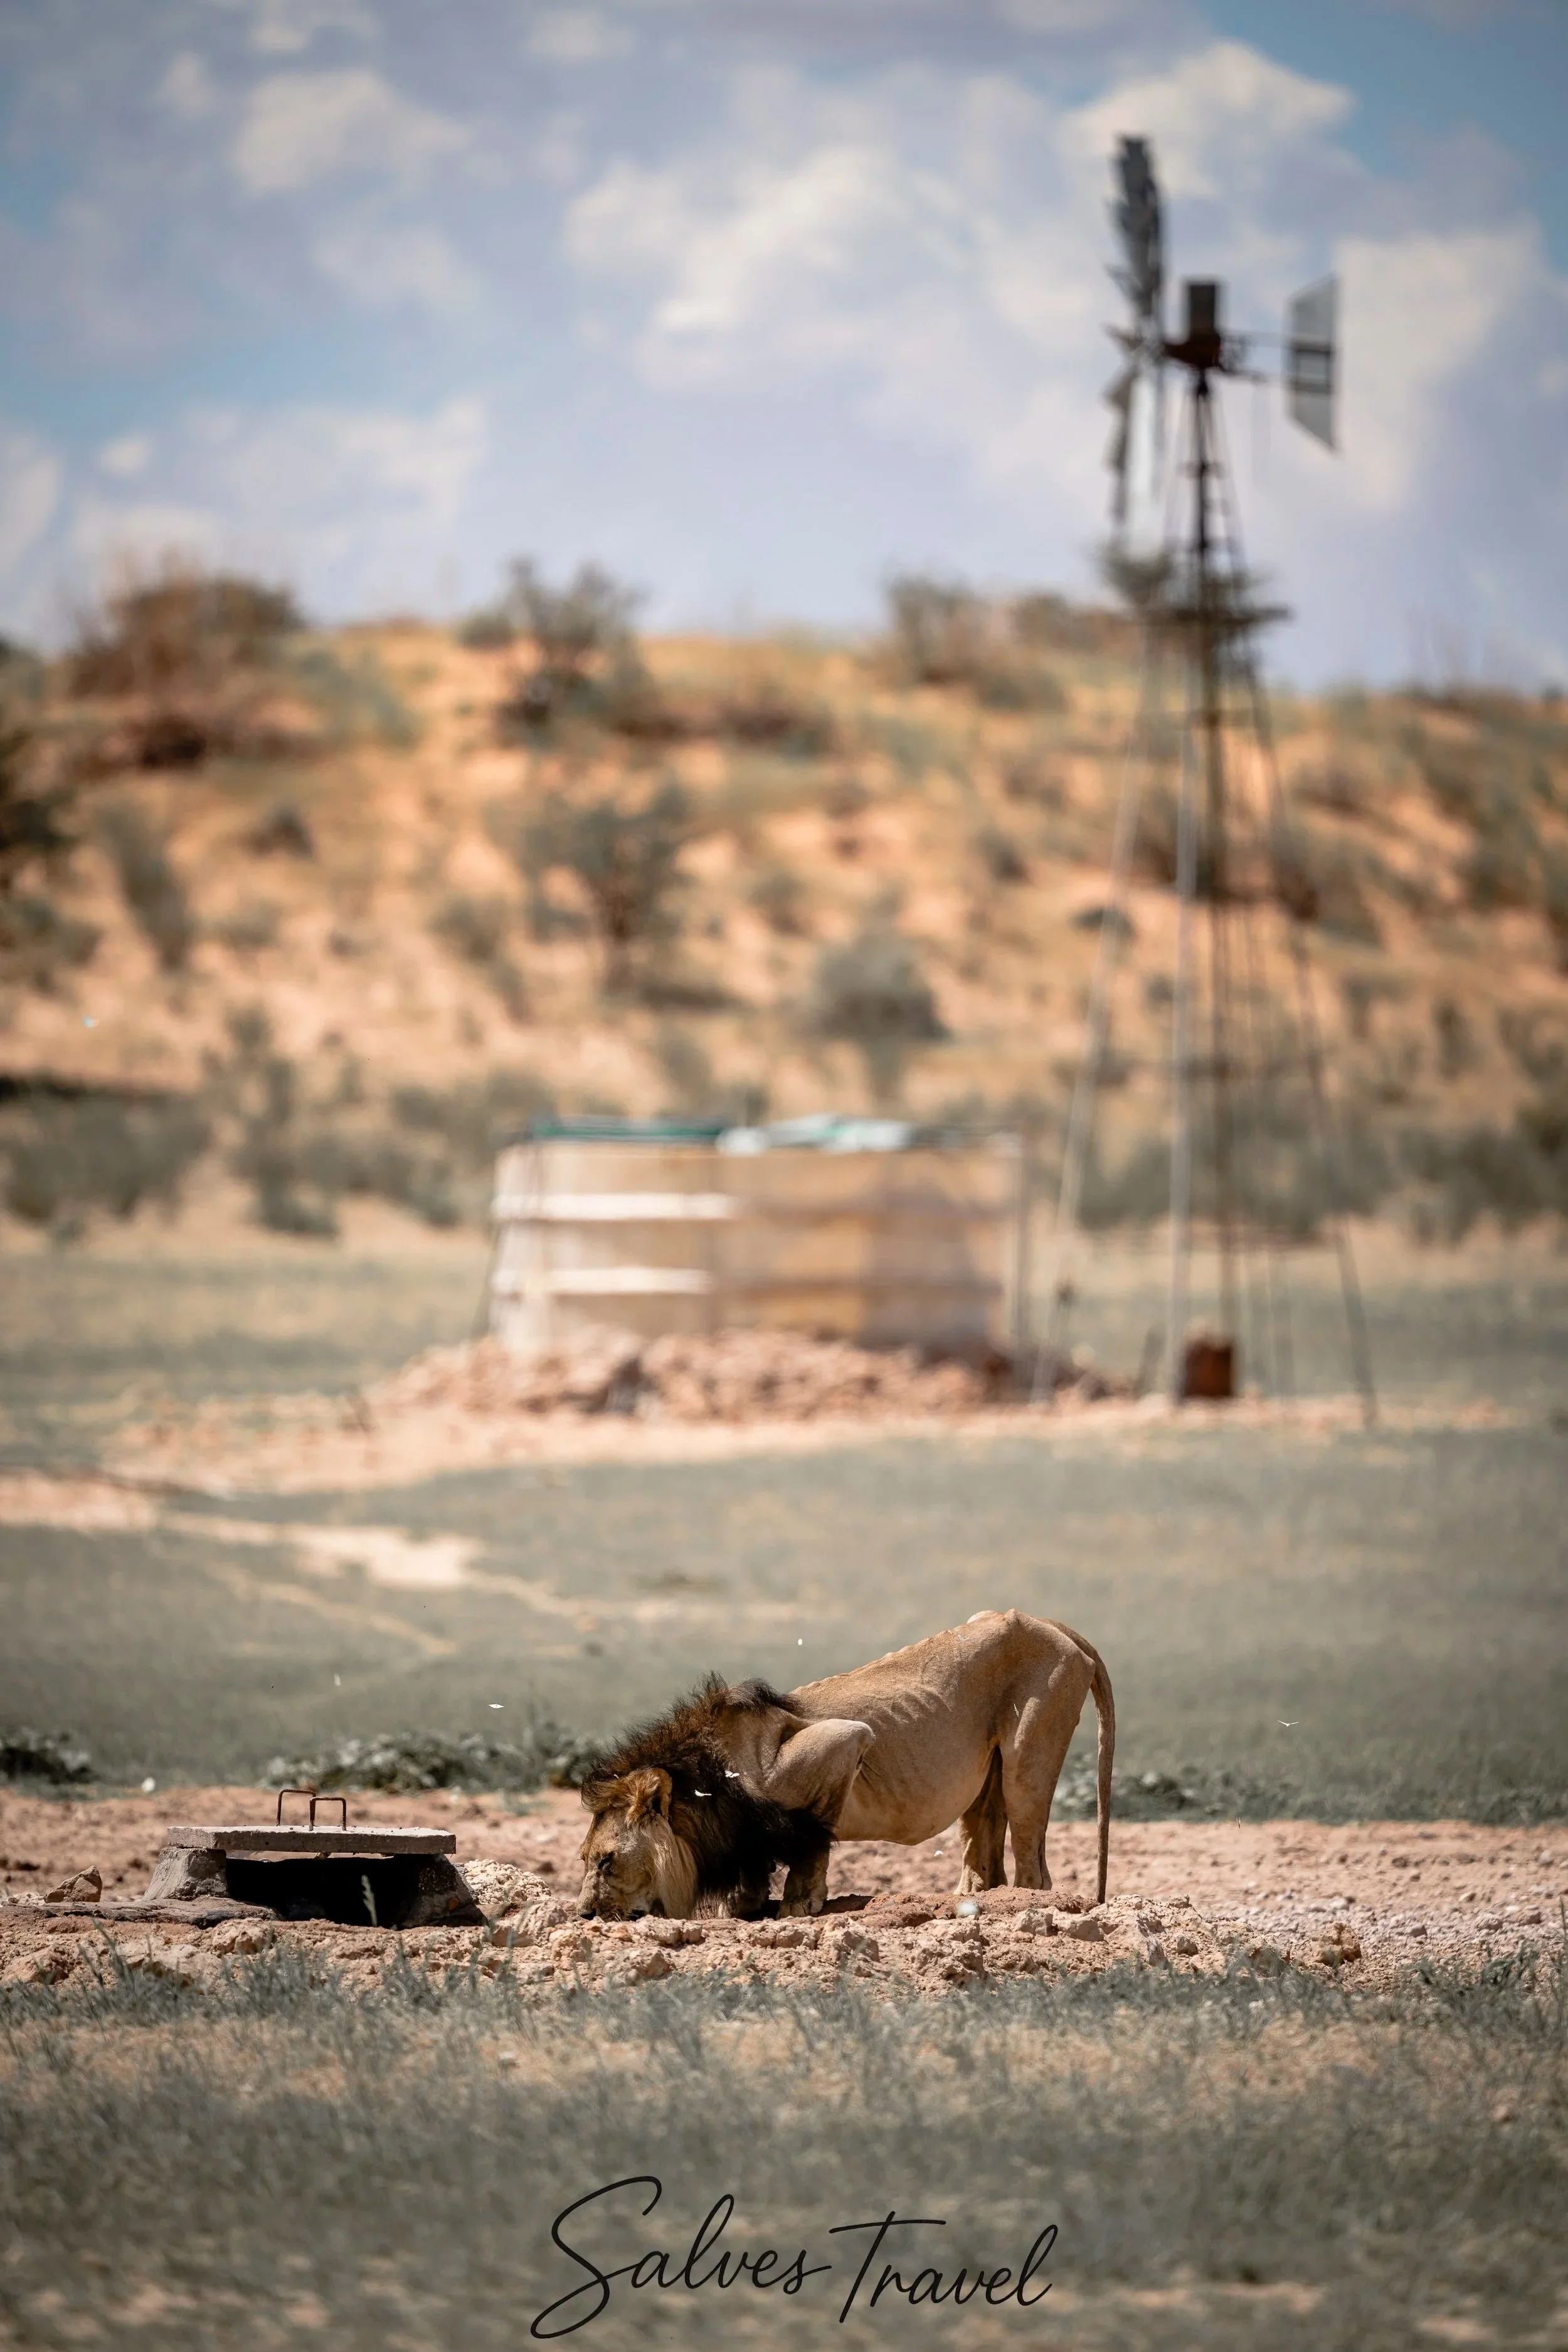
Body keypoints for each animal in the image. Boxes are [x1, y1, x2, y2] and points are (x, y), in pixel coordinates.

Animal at [578, 1608, 1113, 1922]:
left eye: (607, 1860)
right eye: (584, 1859)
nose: (584, 1915)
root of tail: (1047, 1622)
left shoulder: (844, 1742)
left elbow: (812, 1843)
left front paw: (798, 1905)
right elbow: (756, 1867)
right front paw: (742, 1908)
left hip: (1031, 1752)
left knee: (1033, 1864)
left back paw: (1020, 1904)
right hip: (988, 1777)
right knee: (983, 1845)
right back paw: (972, 1898)